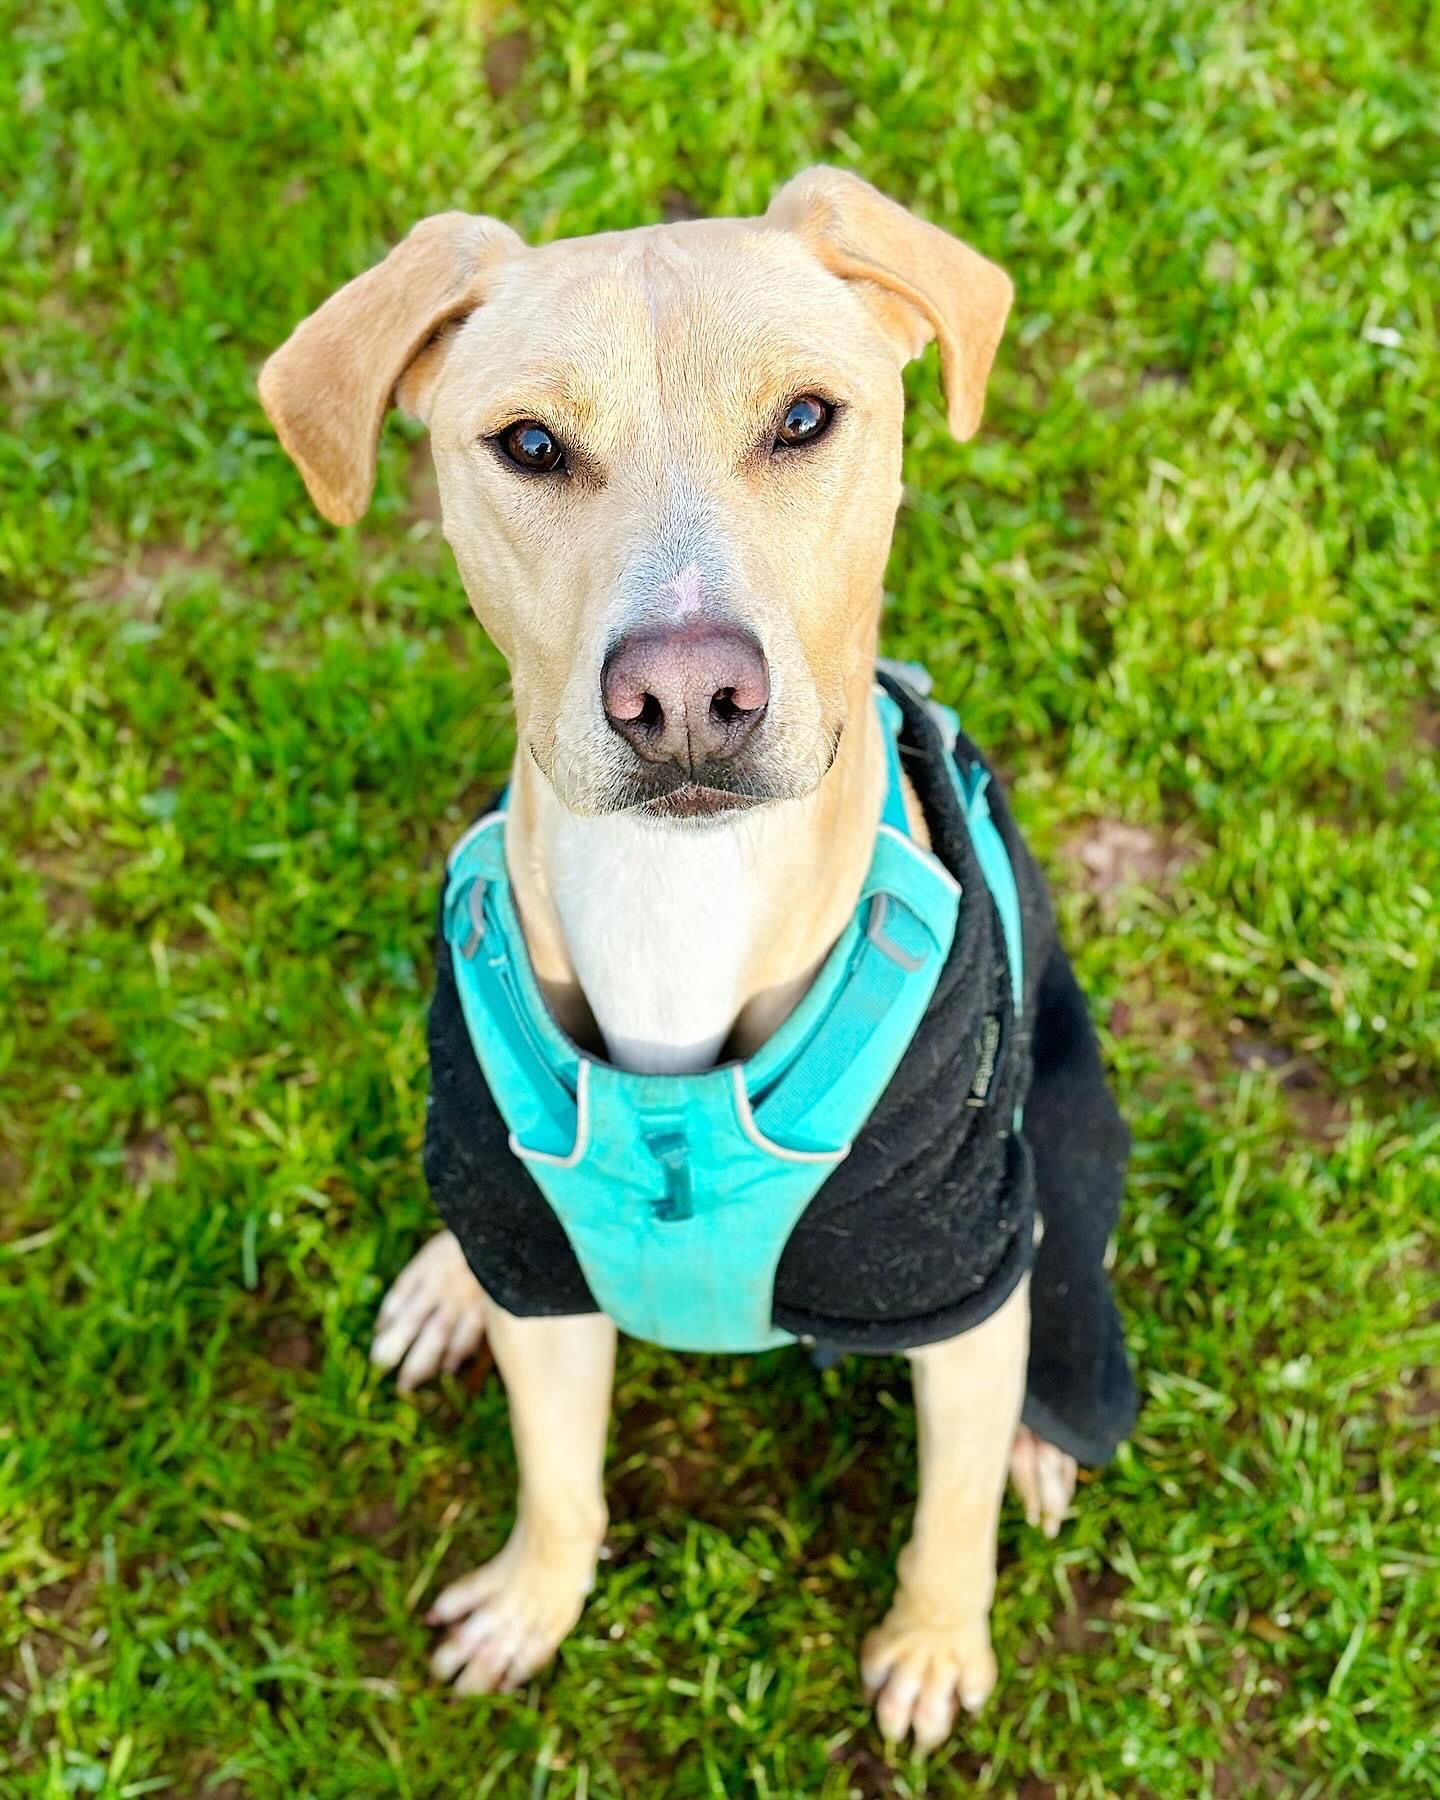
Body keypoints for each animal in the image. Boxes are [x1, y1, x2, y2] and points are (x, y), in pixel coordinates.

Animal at [261, 169, 1137, 1742]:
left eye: (804, 419)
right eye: (528, 445)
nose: (682, 698)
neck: (680, 902)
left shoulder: (953, 1272)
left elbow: (951, 1504)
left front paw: (934, 1644)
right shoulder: (540, 1274)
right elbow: (558, 1477)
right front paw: (533, 1603)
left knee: (1059, 1295)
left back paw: (1045, 1440)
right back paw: (443, 1284)